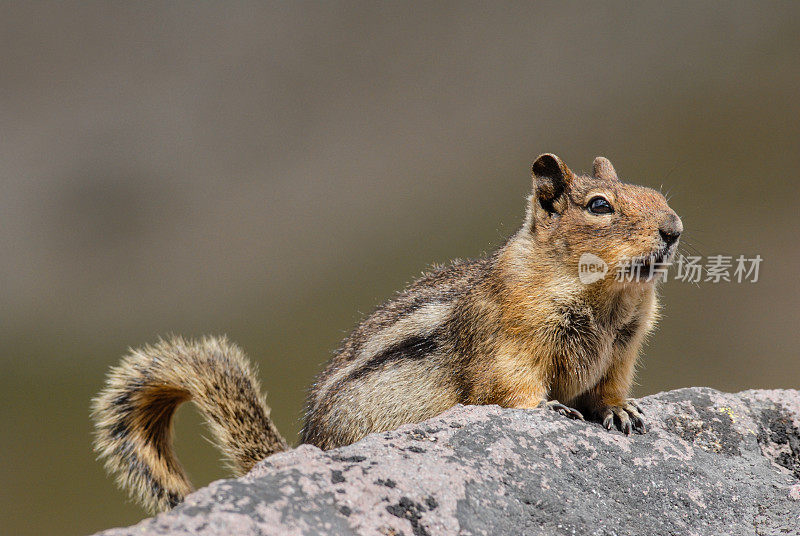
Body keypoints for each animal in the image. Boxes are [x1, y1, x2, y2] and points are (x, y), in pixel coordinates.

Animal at [92, 154, 680, 510]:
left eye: (656, 193)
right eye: (599, 205)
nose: (674, 229)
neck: (607, 301)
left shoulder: (622, 352)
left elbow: (609, 388)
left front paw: (622, 411)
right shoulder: (507, 341)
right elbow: (509, 387)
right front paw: (548, 408)